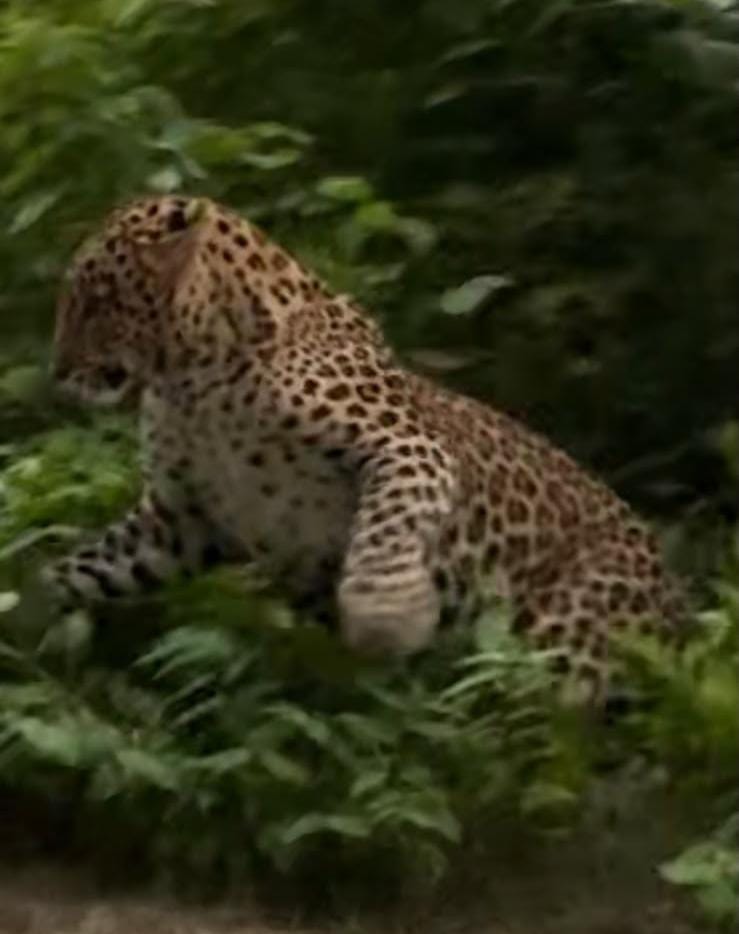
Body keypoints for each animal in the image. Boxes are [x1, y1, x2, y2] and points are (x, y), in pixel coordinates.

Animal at [45, 193, 686, 704]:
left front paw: (388, 617)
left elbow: (386, 528)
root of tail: (672, 593)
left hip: (566, 637)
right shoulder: (180, 519)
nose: (57, 370)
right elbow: (84, 567)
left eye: (98, 298)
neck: (191, 377)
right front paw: (33, 620)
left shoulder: (407, 448)